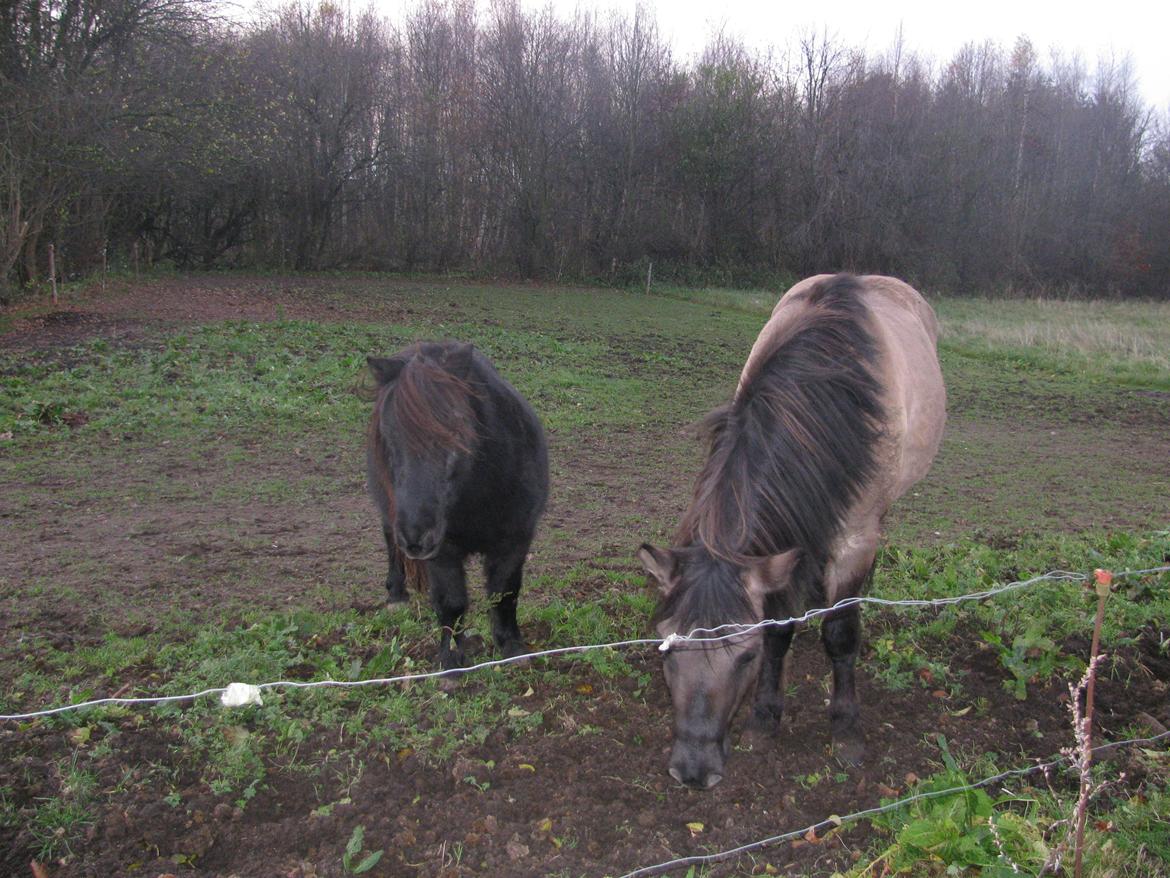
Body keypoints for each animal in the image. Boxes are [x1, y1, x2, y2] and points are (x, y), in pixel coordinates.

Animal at [365, 339, 547, 669]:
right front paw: (451, 659)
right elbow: (451, 602)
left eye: (455, 430)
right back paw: (396, 595)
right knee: (390, 542)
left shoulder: (517, 538)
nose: (416, 537)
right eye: (387, 434)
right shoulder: (442, 550)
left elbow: (505, 592)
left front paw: (512, 646)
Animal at [636, 273, 945, 791]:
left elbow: (841, 633)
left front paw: (846, 729)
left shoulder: (856, 539)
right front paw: (764, 718)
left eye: (745, 656)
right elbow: (780, 627)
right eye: (666, 648)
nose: (694, 771)